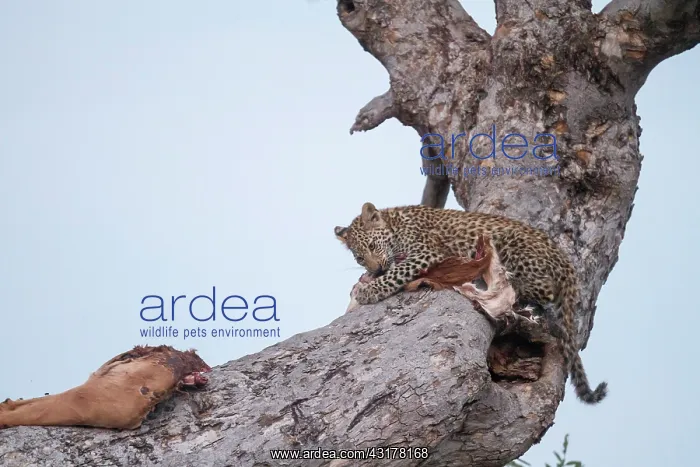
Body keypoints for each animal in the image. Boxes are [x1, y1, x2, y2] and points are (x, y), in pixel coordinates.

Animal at [334, 201, 607, 404]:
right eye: (359, 258)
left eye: (372, 245)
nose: (376, 269)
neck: (395, 223)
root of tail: (564, 261)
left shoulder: (426, 252)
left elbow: (397, 272)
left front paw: (370, 290)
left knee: (545, 291)